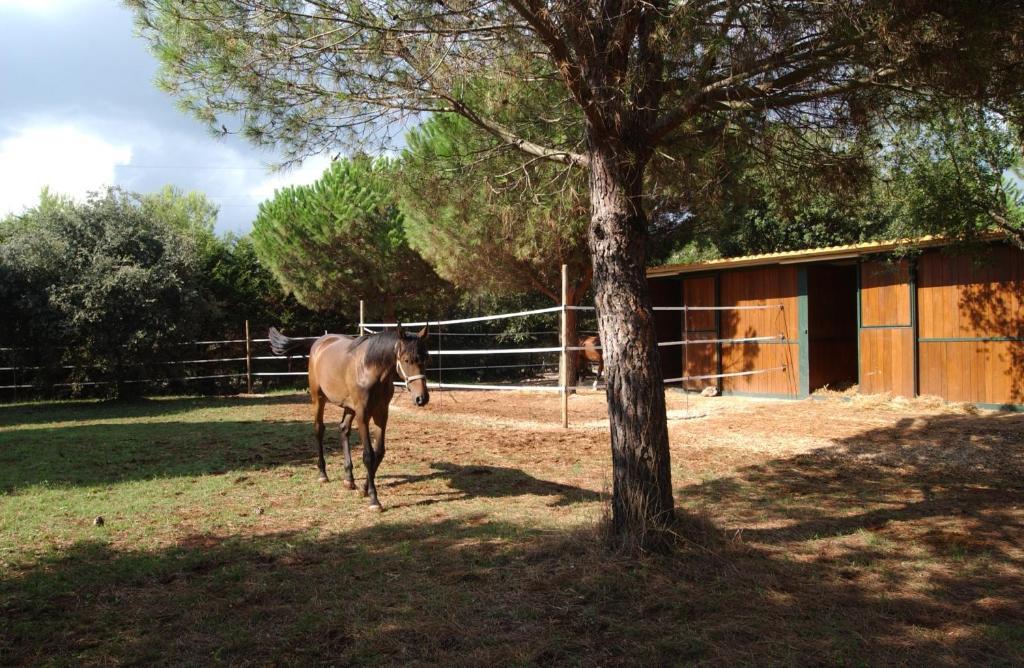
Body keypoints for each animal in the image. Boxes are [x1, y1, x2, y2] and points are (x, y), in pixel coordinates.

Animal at [268, 325, 428, 512]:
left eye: (426, 358)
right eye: (406, 360)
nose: (422, 398)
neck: (370, 369)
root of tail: (319, 342)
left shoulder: (381, 414)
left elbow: (379, 453)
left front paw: (364, 489)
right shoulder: (363, 415)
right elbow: (368, 455)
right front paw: (374, 499)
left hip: (349, 406)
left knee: (343, 429)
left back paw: (349, 480)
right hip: (318, 399)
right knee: (319, 429)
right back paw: (323, 474)